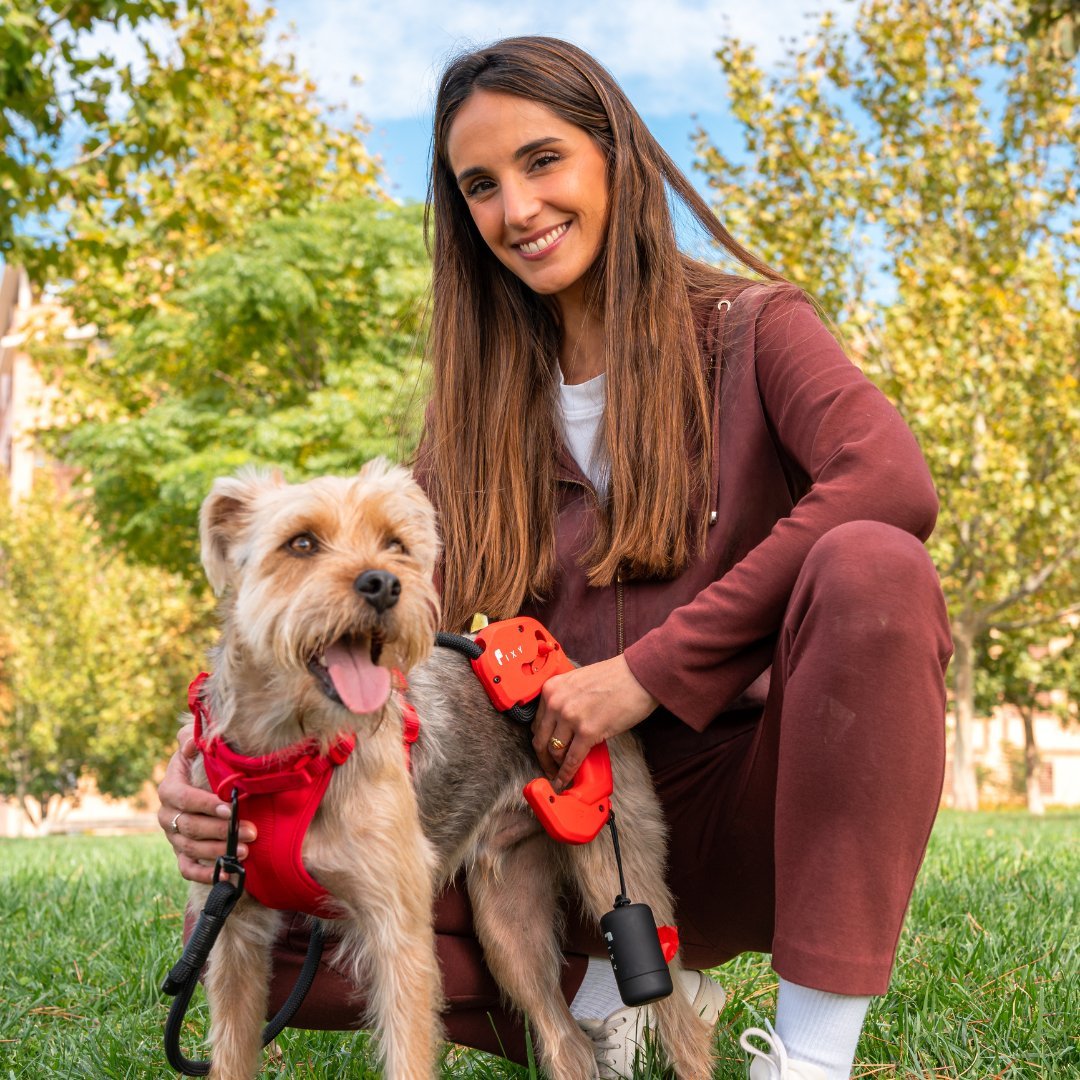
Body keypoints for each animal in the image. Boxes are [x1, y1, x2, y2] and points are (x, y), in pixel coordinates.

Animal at [190, 460, 721, 1080]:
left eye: (395, 544)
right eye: (301, 543)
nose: (383, 584)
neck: (292, 755)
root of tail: (572, 667)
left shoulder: (397, 931)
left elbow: (409, 1058)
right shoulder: (232, 936)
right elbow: (230, 1055)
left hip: (618, 868)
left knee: (682, 1025)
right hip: (508, 923)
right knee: (566, 1041)